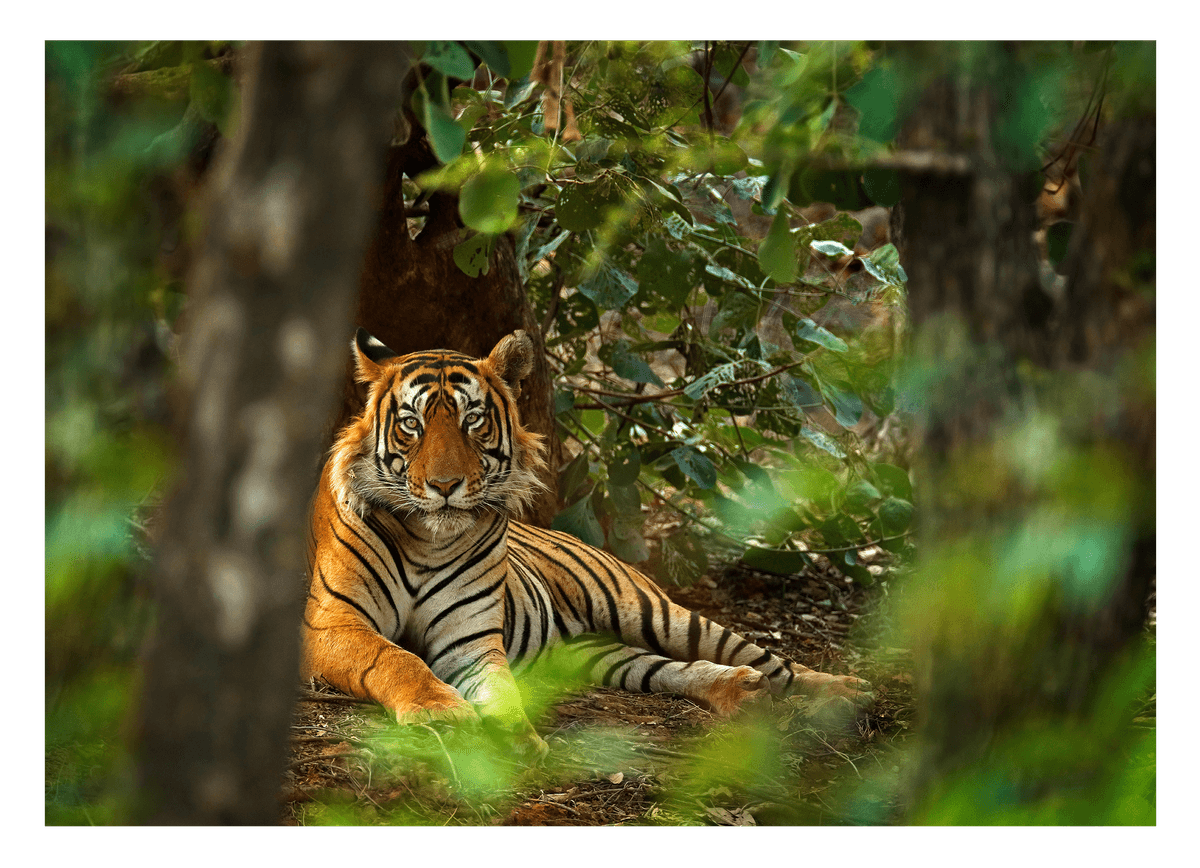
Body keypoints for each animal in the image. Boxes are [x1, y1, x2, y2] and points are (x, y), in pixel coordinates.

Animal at [301, 328, 872, 754]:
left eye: (473, 421)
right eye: (411, 424)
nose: (444, 486)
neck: (427, 540)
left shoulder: (471, 640)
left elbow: (501, 689)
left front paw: (515, 737)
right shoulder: (333, 622)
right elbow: (395, 658)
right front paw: (441, 712)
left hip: (655, 612)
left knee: (768, 659)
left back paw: (843, 691)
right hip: (598, 654)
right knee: (671, 670)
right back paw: (739, 691)